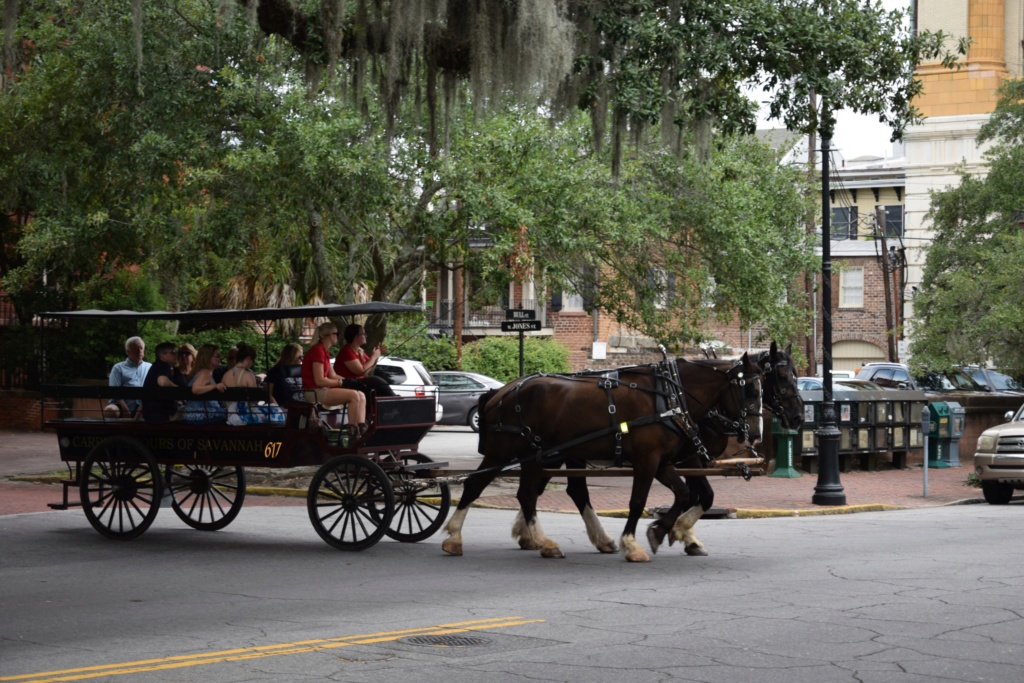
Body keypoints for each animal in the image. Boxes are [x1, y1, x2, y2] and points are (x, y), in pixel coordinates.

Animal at [444, 352, 765, 561]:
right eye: (749, 389)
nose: (755, 433)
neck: (669, 397)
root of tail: (499, 393)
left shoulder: (662, 461)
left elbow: (685, 493)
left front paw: (662, 531)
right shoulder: (648, 460)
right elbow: (638, 501)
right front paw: (633, 544)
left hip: (537, 455)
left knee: (528, 494)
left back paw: (544, 542)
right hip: (505, 450)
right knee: (477, 485)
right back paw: (456, 537)